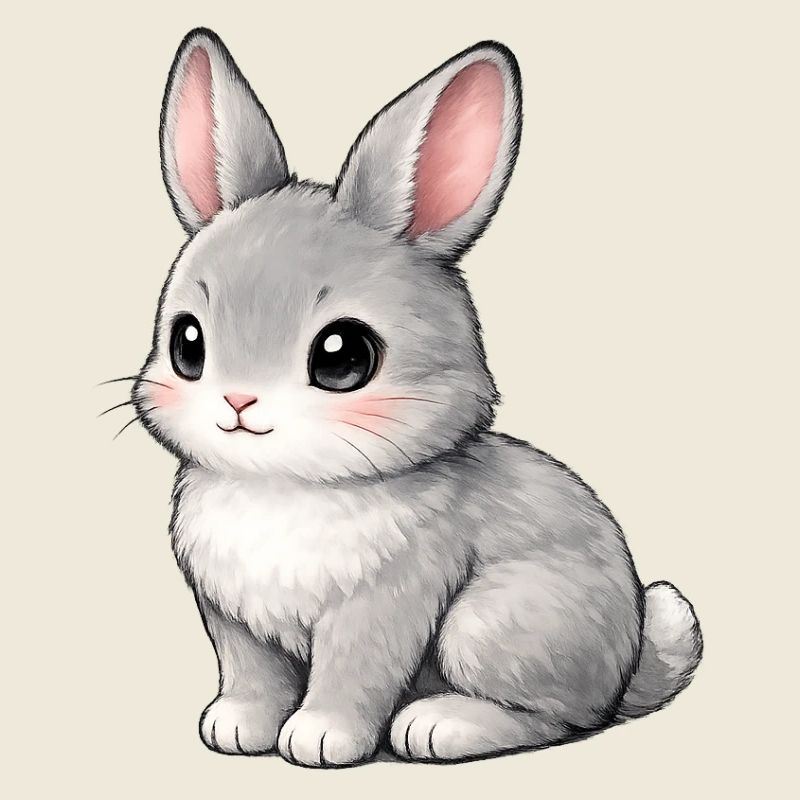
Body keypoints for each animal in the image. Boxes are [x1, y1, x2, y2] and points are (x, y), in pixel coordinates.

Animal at [131, 28, 703, 767]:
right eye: (188, 344)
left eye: (342, 356)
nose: (238, 403)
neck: (289, 486)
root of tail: (629, 662)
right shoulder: (233, 617)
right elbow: (252, 675)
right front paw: (235, 728)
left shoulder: (385, 607)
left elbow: (353, 676)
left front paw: (320, 739)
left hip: (490, 624)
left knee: (561, 719)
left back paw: (437, 726)